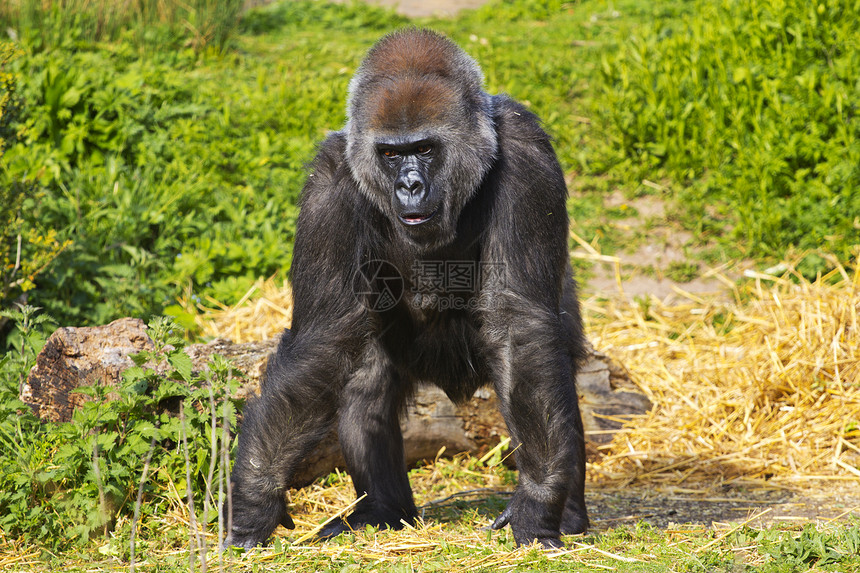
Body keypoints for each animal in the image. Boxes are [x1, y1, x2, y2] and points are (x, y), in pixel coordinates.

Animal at [227, 29, 592, 548]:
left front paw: (538, 503)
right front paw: (255, 494)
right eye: (391, 154)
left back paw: (570, 514)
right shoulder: (328, 182)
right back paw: (384, 509)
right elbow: (325, 336)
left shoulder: (527, 153)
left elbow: (517, 325)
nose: (411, 186)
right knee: (366, 380)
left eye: (424, 148)